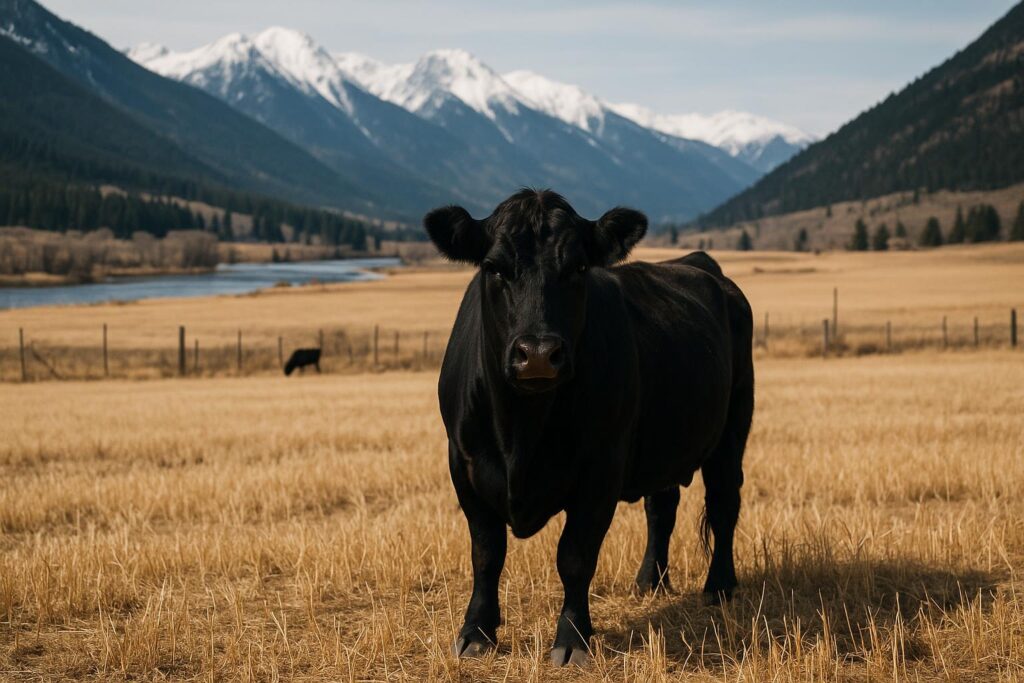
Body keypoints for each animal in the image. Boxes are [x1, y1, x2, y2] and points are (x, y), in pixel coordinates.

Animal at [426, 189, 754, 667]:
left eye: (579, 267)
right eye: (494, 267)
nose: (538, 354)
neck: (521, 432)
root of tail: (702, 265)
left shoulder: (601, 470)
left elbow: (575, 556)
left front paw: (572, 638)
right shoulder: (464, 464)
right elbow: (486, 553)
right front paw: (476, 632)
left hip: (732, 428)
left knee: (725, 502)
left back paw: (719, 586)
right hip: (663, 441)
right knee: (662, 506)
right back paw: (649, 581)